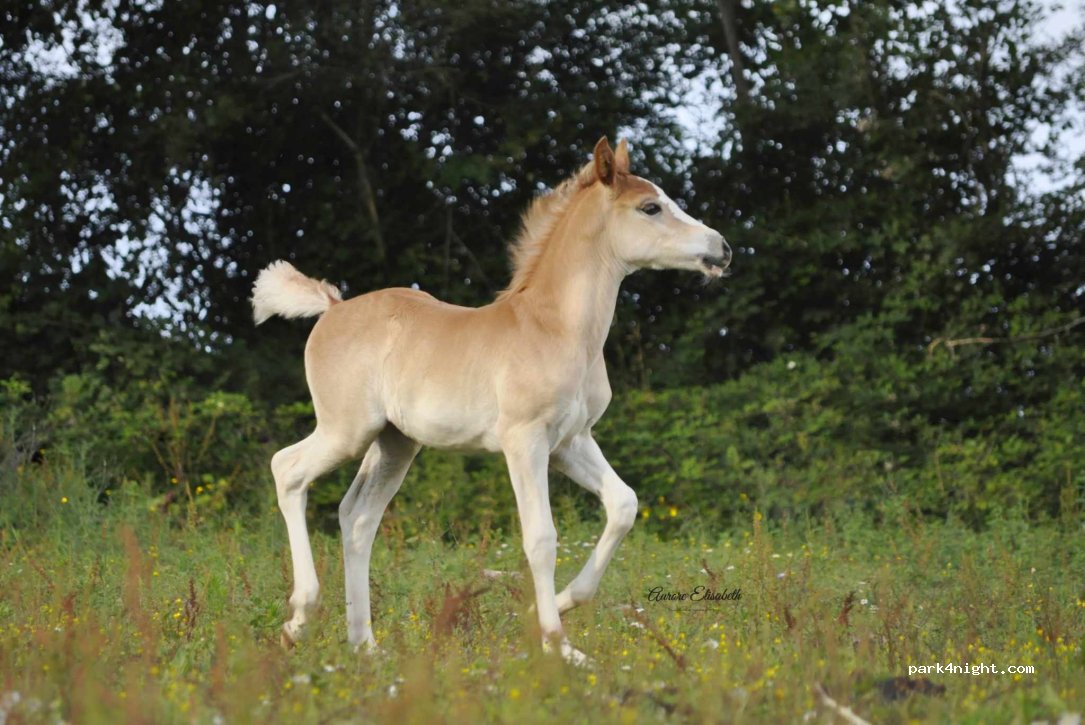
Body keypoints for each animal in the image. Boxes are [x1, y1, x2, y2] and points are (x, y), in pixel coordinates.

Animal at [252, 137, 731, 664]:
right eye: (650, 207)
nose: (722, 249)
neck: (556, 329)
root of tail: (332, 308)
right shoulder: (525, 441)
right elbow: (541, 538)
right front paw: (559, 646)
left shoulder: (571, 442)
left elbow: (623, 504)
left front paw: (557, 606)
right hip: (346, 429)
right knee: (286, 469)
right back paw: (299, 618)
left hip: (394, 443)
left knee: (357, 519)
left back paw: (365, 647)